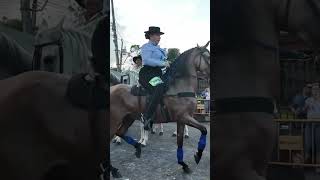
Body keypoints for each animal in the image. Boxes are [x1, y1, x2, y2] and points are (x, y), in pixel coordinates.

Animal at [110, 41, 210, 176]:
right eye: (208, 57)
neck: (179, 88)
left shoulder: (182, 120)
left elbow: (180, 142)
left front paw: (183, 164)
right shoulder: (184, 117)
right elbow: (204, 129)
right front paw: (198, 155)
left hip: (128, 118)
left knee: (120, 132)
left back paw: (137, 148)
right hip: (115, 120)